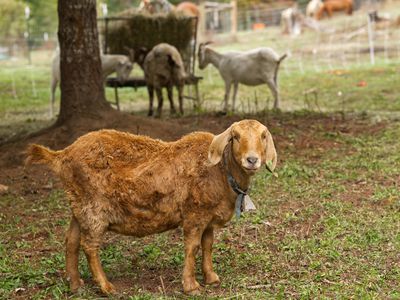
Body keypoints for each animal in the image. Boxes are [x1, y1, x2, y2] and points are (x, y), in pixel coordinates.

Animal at [24, 119, 276, 296]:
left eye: (263, 136)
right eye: (235, 136)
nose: (252, 160)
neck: (221, 172)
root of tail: (61, 155)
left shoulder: (208, 217)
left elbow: (208, 245)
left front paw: (211, 278)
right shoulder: (194, 214)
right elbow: (193, 247)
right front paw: (191, 286)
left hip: (79, 205)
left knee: (72, 241)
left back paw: (76, 285)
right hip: (93, 207)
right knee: (89, 245)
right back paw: (106, 287)